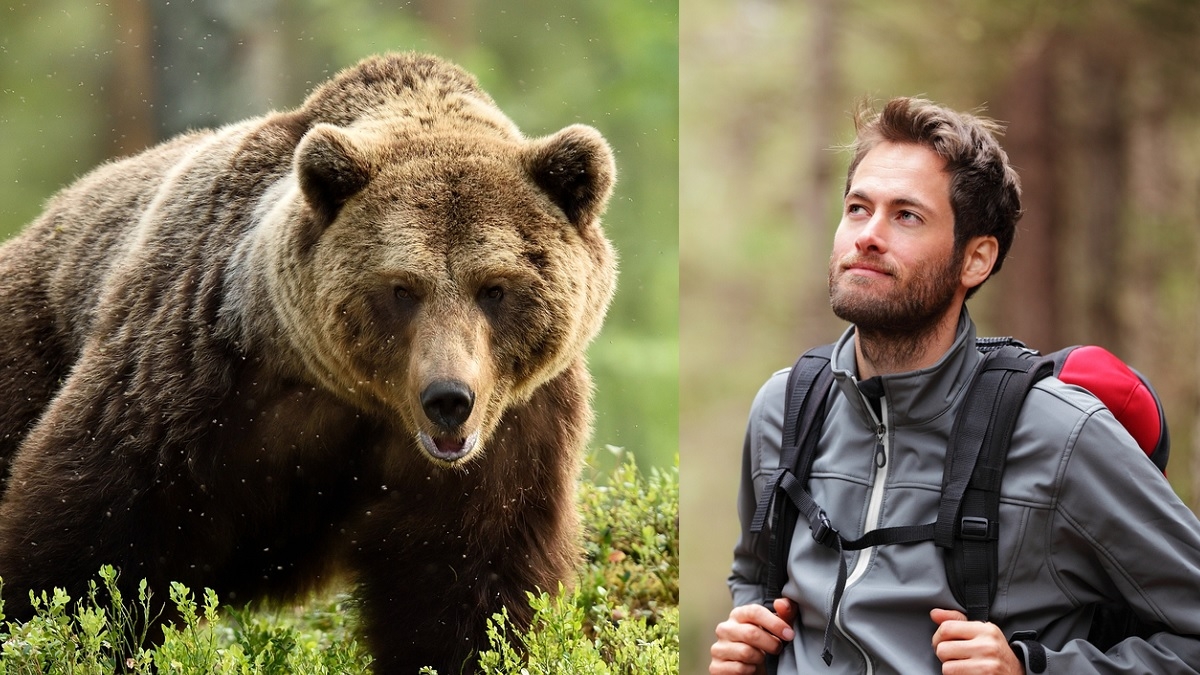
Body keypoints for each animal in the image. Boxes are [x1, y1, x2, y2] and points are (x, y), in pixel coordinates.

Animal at [0, 49, 619, 667]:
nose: (448, 399)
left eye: (494, 287)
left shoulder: (510, 438)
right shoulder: (191, 374)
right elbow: (89, 547)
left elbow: (467, 591)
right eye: (402, 288)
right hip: (31, 343)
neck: (356, 399)